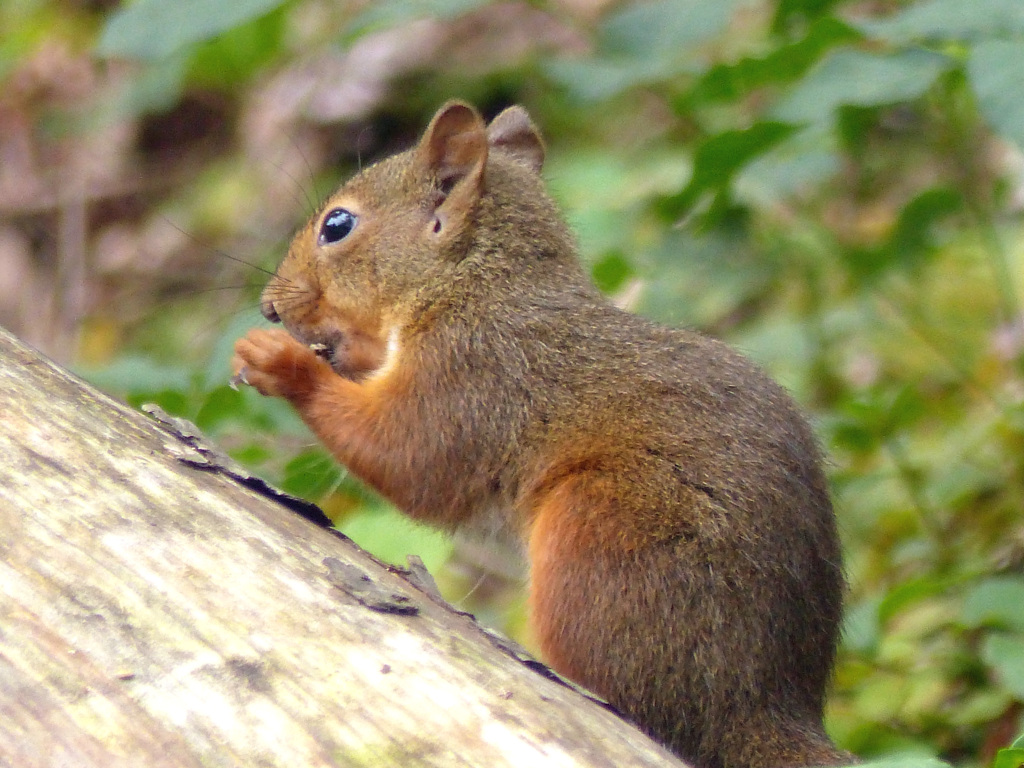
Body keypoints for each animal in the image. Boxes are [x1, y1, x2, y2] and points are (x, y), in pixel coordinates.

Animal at [232, 102, 847, 768]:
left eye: (337, 226)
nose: (269, 307)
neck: (477, 283)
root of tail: (758, 705)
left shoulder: (476, 373)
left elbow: (411, 458)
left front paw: (281, 361)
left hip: (605, 537)